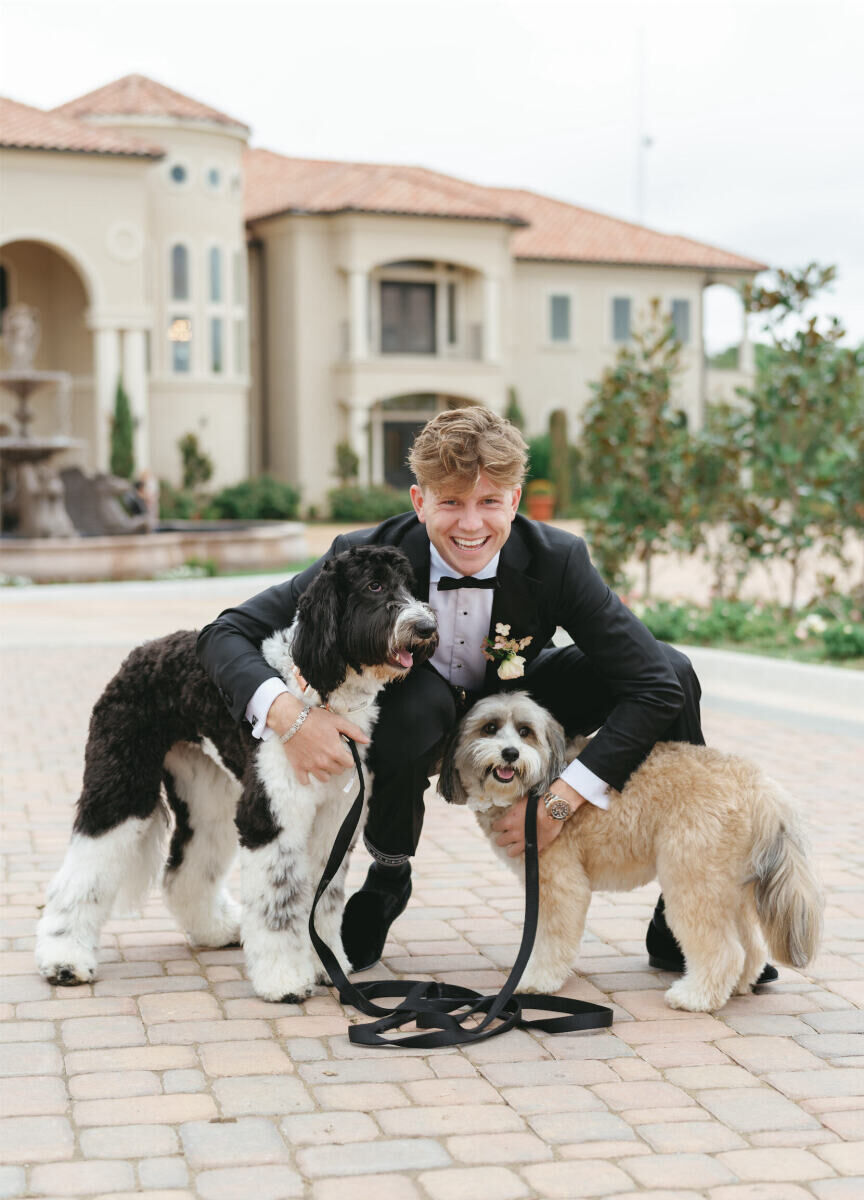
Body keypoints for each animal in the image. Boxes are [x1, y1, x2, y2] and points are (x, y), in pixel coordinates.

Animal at [35, 549, 439, 1003]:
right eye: (374, 585)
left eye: (408, 585)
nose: (426, 627)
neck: (317, 696)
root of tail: (141, 652)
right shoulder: (272, 817)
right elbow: (279, 903)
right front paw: (284, 978)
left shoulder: (335, 821)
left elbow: (325, 899)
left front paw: (326, 964)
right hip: (121, 786)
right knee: (84, 867)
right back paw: (65, 960)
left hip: (206, 795)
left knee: (186, 871)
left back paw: (214, 930)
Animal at [439, 696, 825, 1012]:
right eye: (489, 728)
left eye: (525, 732)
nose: (510, 754)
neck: (540, 787)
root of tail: (760, 787)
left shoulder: (559, 885)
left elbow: (549, 941)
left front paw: (535, 980)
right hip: (729, 887)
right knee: (750, 947)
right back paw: (739, 985)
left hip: (692, 880)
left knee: (724, 950)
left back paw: (696, 997)